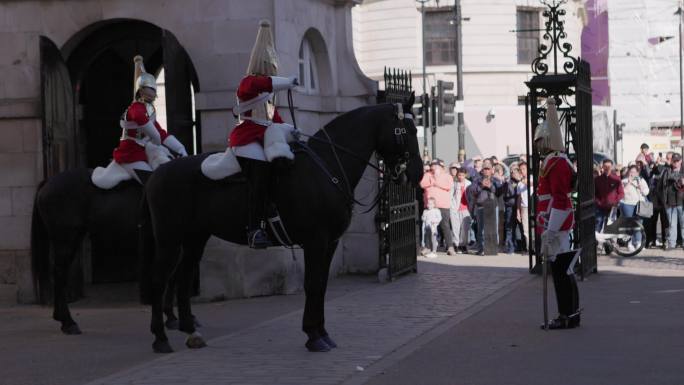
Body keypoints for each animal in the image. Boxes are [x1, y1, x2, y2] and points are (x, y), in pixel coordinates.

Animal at [31, 168, 191, 332]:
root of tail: (48, 182)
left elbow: (172, 277)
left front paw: (171, 316)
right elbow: (170, 277)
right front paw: (171, 317)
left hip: (74, 237)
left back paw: (62, 318)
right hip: (65, 240)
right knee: (60, 274)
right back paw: (68, 323)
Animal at [139, 98, 422, 352]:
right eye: (407, 131)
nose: (417, 173)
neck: (327, 166)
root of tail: (158, 173)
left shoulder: (329, 243)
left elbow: (321, 285)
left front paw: (322, 333)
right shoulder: (316, 242)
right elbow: (312, 284)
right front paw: (313, 336)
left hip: (195, 238)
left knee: (184, 276)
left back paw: (190, 330)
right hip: (169, 239)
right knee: (159, 280)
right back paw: (160, 338)